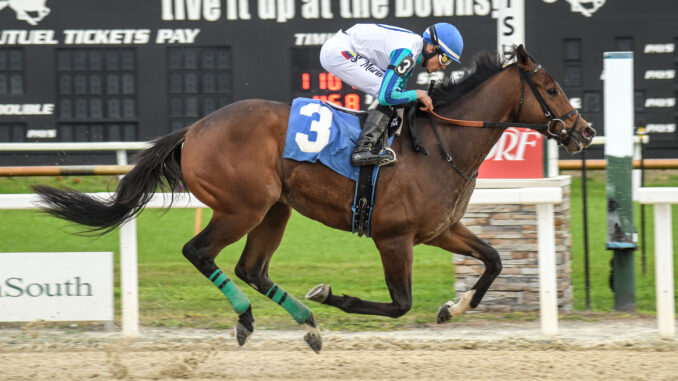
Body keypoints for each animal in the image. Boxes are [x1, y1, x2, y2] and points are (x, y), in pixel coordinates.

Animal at [34, 46, 596, 352]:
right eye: (550, 87)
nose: (585, 132)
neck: (443, 144)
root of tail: (194, 129)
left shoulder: (440, 230)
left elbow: (495, 259)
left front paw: (453, 308)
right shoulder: (394, 237)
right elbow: (399, 304)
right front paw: (334, 296)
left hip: (274, 209)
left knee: (251, 268)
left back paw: (306, 324)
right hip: (243, 206)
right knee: (201, 253)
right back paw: (253, 318)